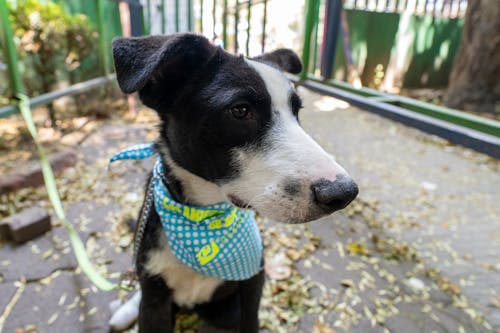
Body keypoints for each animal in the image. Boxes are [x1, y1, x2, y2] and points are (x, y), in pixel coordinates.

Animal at [111, 31, 358, 332]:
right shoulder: (154, 301)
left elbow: (250, 320)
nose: (344, 192)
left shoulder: (252, 282)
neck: (202, 219)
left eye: (297, 111)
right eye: (240, 111)